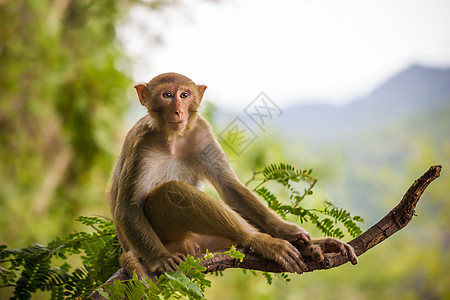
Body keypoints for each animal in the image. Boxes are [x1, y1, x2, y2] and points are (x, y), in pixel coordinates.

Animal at [107, 72, 356, 276]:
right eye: (167, 95)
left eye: (184, 95)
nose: (178, 110)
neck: (173, 139)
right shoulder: (141, 145)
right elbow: (128, 208)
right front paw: (160, 259)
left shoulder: (201, 132)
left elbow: (229, 187)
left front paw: (285, 230)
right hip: (169, 238)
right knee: (172, 191)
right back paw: (261, 241)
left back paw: (308, 246)